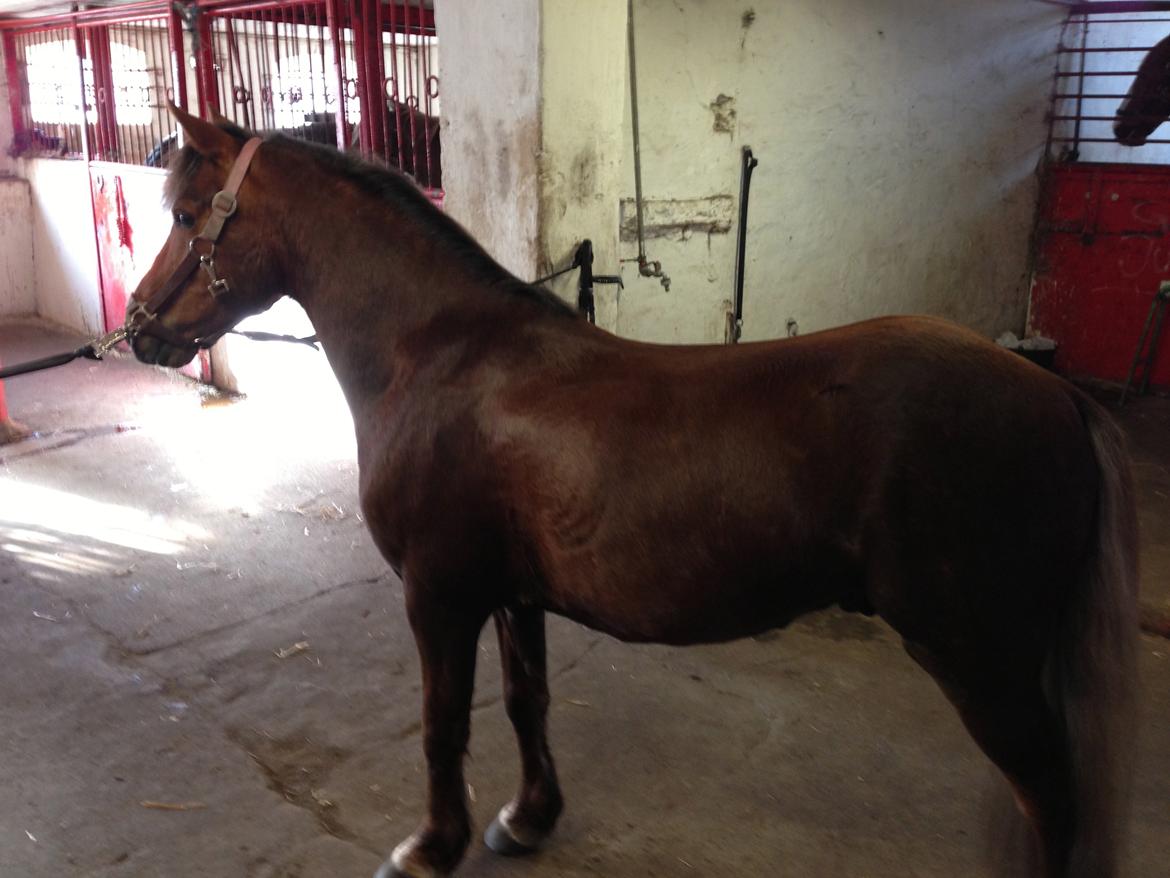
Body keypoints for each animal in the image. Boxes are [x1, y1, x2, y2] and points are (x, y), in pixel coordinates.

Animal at [126, 104, 1139, 878]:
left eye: (186, 214)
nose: (138, 331)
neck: (441, 355)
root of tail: (1059, 395)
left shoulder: (439, 593)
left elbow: (442, 722)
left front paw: (431, 847)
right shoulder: (511, 594)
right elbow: (525, 702)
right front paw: (527, 818)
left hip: (979, 661)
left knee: (1053, 798)